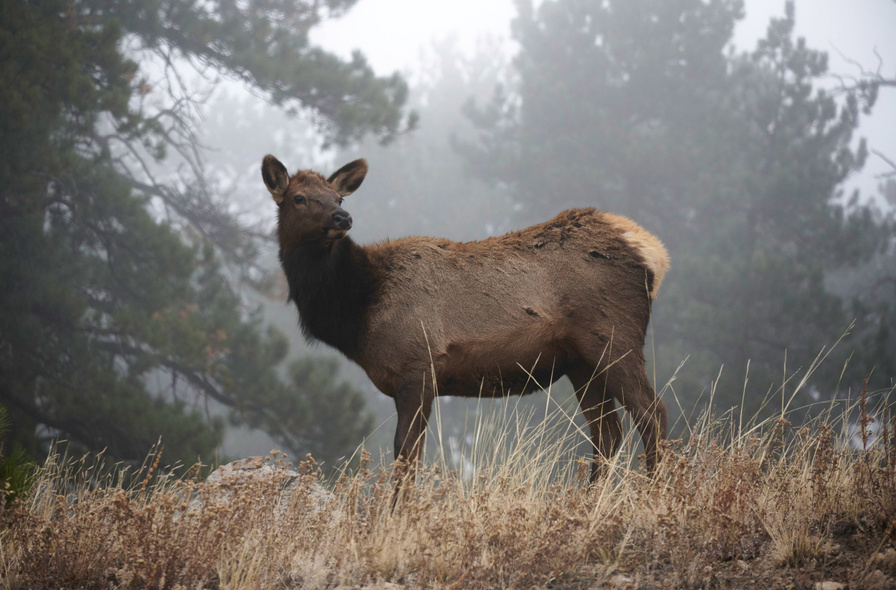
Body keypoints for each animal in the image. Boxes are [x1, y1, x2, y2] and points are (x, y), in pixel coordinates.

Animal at [262, 155, 670, 482]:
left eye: (339, 196)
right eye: (299, 198)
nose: (342, 217)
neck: (359, 311)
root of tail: (653, 252)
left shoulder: (418, 363)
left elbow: (406, 454)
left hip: (613, 337)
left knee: (652, 413)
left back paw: (653, 493)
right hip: (581, 363)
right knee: (608, 433)